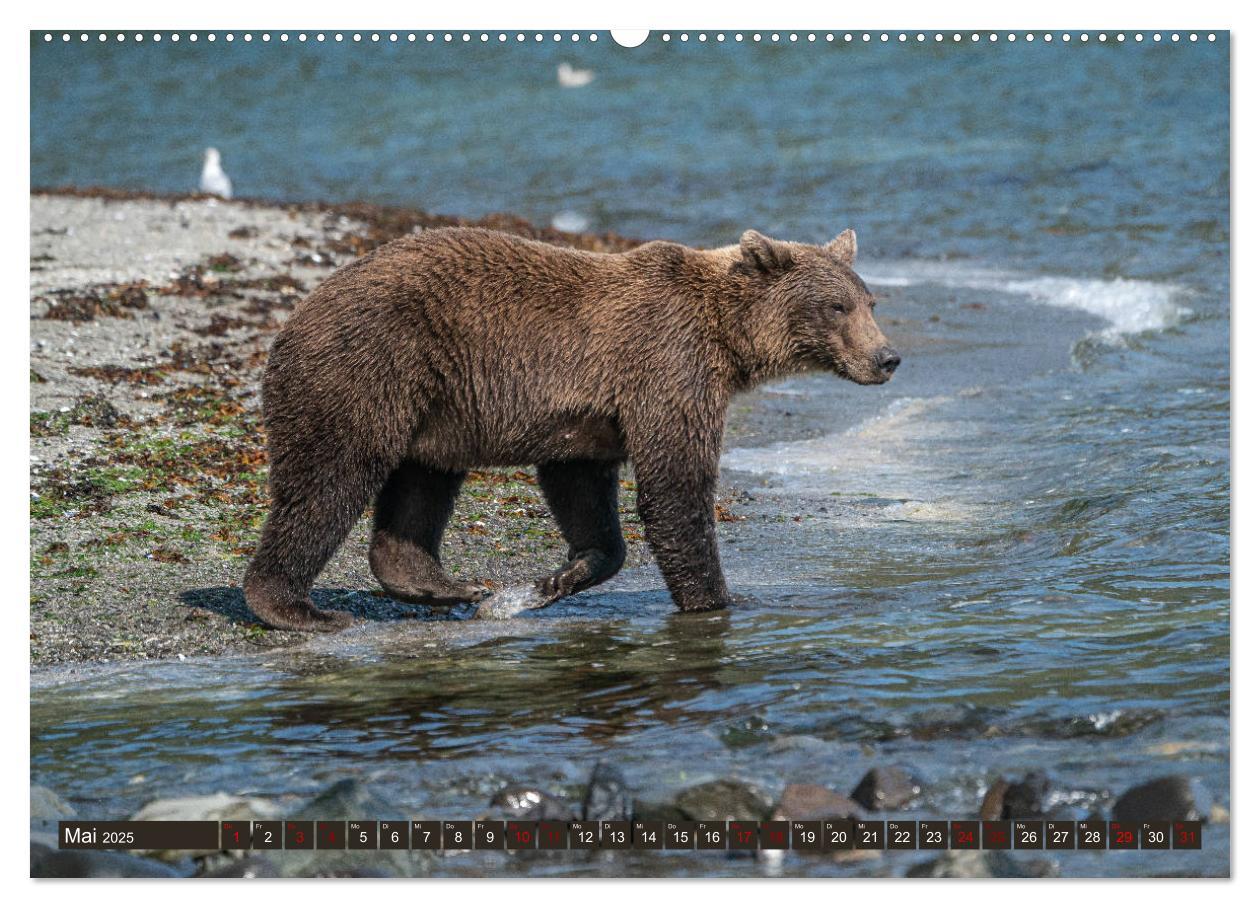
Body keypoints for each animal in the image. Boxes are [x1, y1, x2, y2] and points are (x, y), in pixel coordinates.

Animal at [243, 225, 897, 629]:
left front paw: (550, 581)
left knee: (421, 481)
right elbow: (675, 489)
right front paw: (713, 601)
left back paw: (445, 585)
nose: (887, 358)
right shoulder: (667, 365)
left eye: (869, 302)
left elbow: (582, 491)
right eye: (837, 306)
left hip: (431, 405)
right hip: (368, 367)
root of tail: (293, 318)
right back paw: (297, 607)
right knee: (329, 480)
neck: (729, 339)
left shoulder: (588, 418)